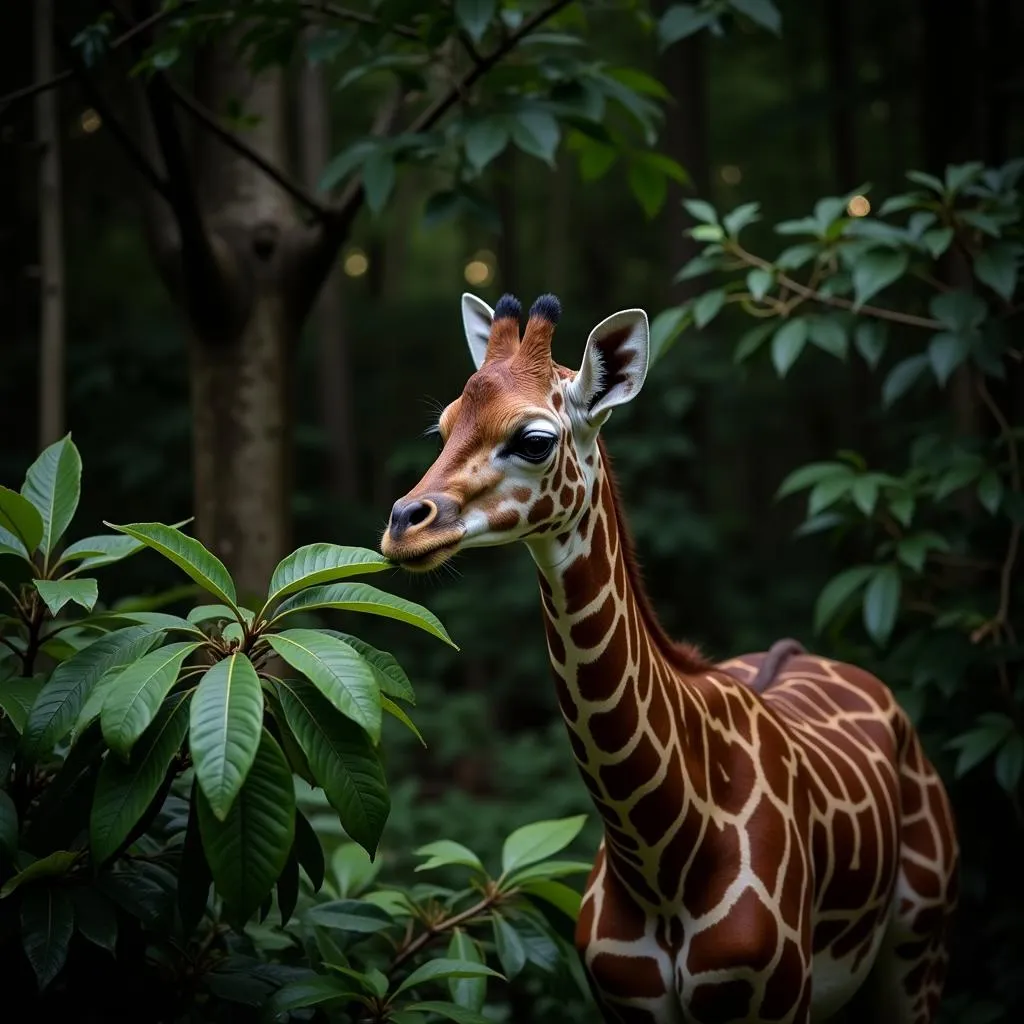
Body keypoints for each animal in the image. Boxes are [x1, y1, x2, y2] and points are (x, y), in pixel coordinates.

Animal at [382, 294, 958, 1024]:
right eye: (445, 426)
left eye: (535, 440)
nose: (403, 525)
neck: (658, 855)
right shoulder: (628, 1003)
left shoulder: (775, 998)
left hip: (919, 945)